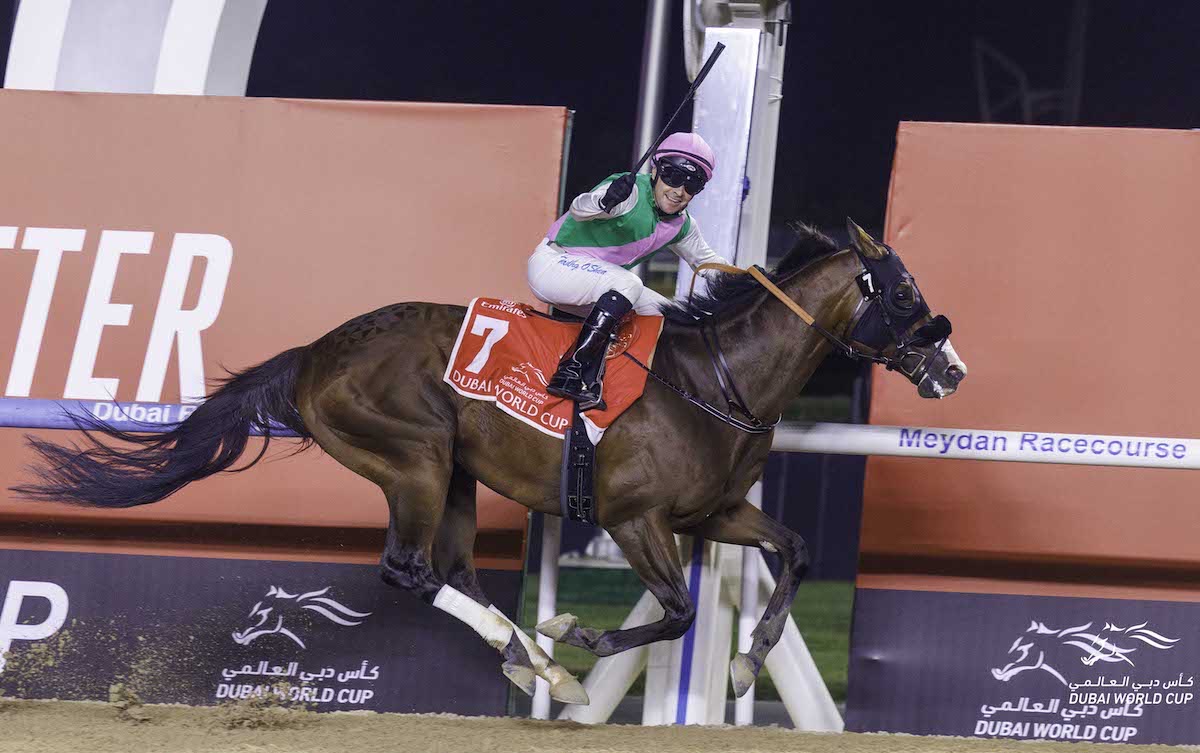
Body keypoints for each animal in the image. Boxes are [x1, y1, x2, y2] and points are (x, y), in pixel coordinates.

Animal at [11, 218, 964, 705]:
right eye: (904, 293)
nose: (951, 368)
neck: (716, 378)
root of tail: (315, 353)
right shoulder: (634, 517)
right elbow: (679, 610)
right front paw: (579, 636)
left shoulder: (713, 510)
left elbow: (793, 552)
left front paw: (744, 659)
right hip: (416, 456)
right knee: (408, 568)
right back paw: (537, 652)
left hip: (457, 472)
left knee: (456, 568)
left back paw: (527, 655)